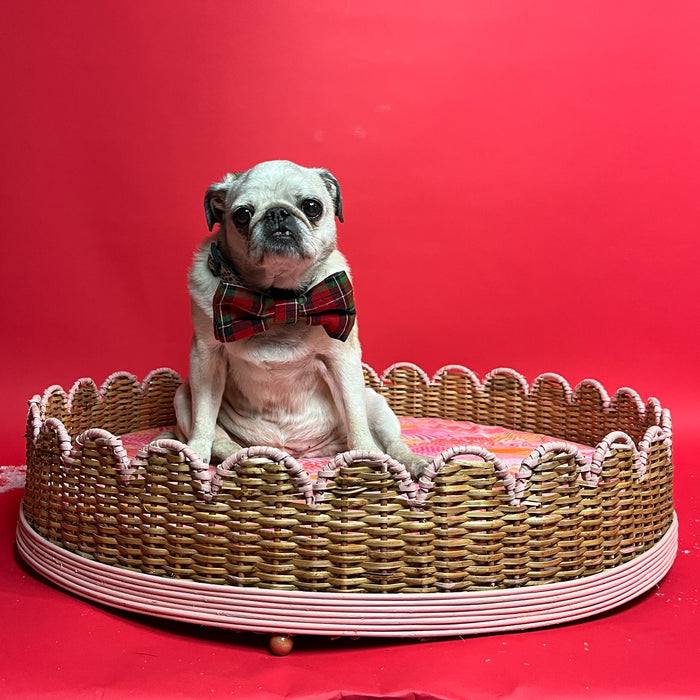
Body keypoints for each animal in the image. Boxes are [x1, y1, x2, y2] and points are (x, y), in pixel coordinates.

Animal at [174, 159, 426, 478]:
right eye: (242, 215)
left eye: (312, 206)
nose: (277, 212)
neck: (281, 300)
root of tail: (298, 451)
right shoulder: (206, 357)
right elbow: (205, 418)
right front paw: (194, 454)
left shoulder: (343, 359)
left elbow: (355, 417)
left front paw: (365, 457)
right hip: (183, 396)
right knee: (220, 438)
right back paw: (242, 459)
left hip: (376, 403)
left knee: (390, 441)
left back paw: (413, 462)